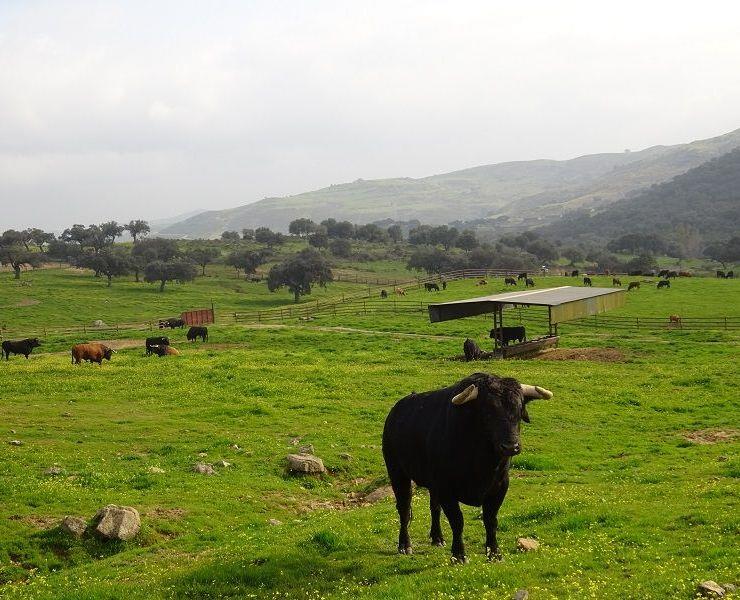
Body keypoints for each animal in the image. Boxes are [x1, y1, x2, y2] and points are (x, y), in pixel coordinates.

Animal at [382, 372, 556, 560]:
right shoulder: (446, 488)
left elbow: (490, 520)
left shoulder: (500, 486)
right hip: (397, 473)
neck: (482, 462)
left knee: (434, 507)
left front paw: (494, 553)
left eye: (518, 410)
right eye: (488, 413)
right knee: (404, 509)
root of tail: (395, 412)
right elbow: (457, 521)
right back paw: (405, 545)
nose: (511, 446)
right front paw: (459, 554)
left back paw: (437, 538)